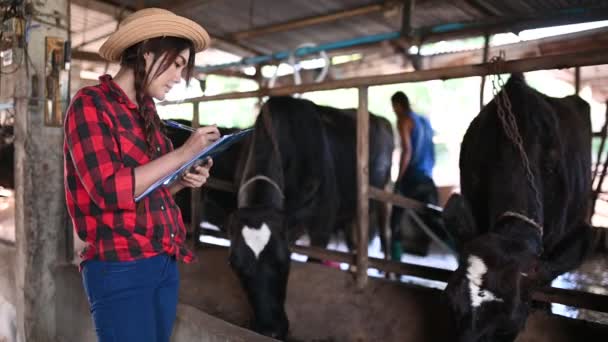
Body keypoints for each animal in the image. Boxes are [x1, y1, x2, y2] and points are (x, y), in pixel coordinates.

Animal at [228, 97, 394, 340]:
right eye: (236, 266)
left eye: (283, 262)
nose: (270, 330)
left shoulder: (322, 225)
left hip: (384, 192)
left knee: (385, 233)